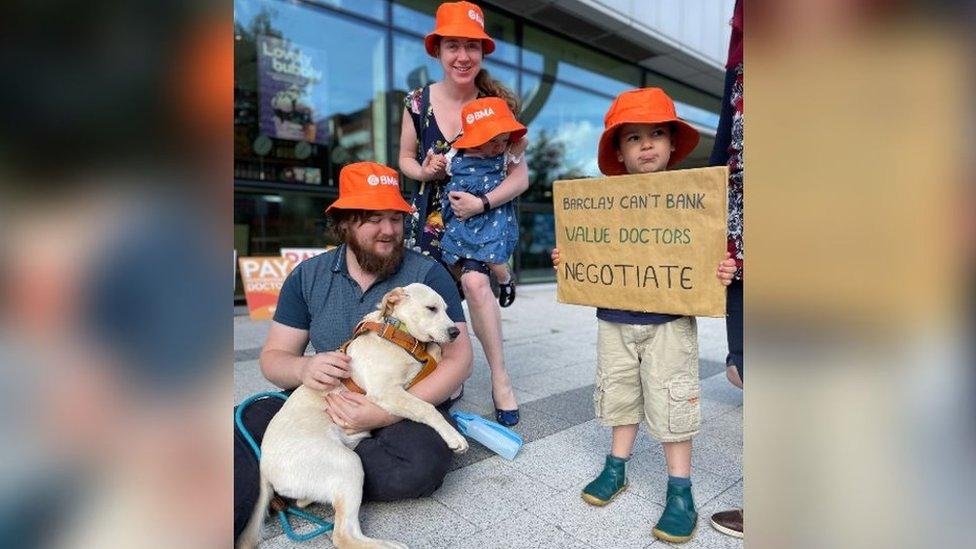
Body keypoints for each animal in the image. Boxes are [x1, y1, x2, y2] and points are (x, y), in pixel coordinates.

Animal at [244, 284, 472, 544]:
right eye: (431, 308)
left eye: (446, 309)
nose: (456, 332)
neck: (397, 333)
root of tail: (264, 468)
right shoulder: (386, 392)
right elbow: (426, 407)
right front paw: (454, 437)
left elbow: (435, 353)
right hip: (347, 464)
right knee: (343, 535)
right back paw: (390, 545)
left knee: (305, 502)